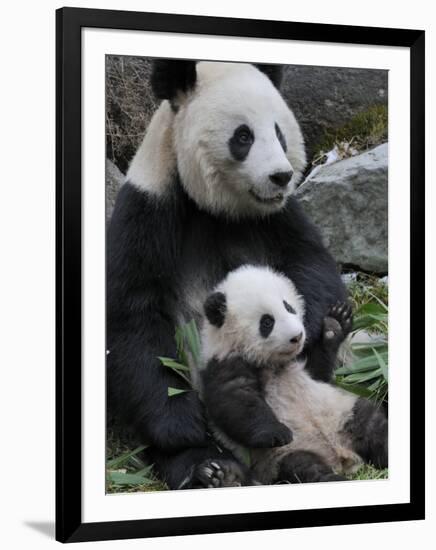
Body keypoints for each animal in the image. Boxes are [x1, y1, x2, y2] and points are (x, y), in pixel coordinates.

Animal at [106, 60, 348, 492]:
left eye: (279, 132)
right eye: (243, 136)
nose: (281, 176)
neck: (216, 207)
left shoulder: (279, 216)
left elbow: (311, 262)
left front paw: (313, 332)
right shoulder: (150, 207)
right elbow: (133, 313)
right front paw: (182, 427)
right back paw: (213, 470)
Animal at [199, 268, 386, 488]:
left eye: (288, 307)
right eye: (267, 322)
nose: (297, 336)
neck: (273, 362)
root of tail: (342, 458)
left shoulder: (304, 366)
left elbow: (320, 371)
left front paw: (335, 324)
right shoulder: (224, 362)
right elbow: (237, 400)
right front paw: (277, 432)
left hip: (343, 412)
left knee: (373, 425)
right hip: (285, 457)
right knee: (306, 469)